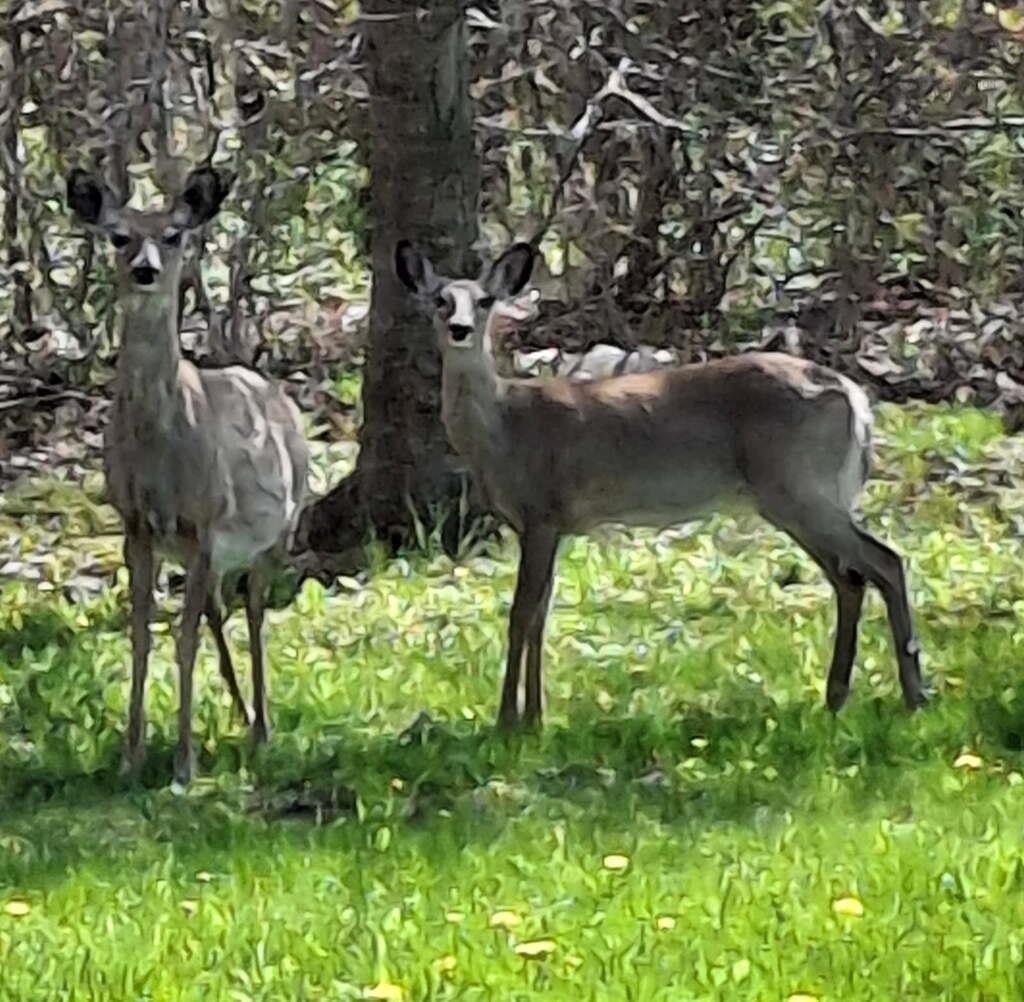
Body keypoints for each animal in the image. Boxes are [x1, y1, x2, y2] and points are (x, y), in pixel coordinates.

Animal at [66, 166, 309, 785]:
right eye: (118, 236)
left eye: (174, 235)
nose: (146, 270)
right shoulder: (136, 526)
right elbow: (141, 638)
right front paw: (130, 757)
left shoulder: (205, 523)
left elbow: (183, 639)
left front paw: (182, 763)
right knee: (221, 610)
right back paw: (242, 713)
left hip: (280, 527)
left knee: (253, 611)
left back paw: (262, 727)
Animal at [394, 239, 927, 730]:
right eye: (440, 299)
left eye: (484, 300)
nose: (459, 329)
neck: (505, 428)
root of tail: (857, 399)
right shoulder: (552, 525)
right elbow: (541, 614)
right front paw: (535, 716)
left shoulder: (542, 512)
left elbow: (521, 614)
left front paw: (509, 720)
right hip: (794, 497)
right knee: (850, 578)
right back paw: (837, 695)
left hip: (798, 485)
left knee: (884, 560)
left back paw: (913, 693)